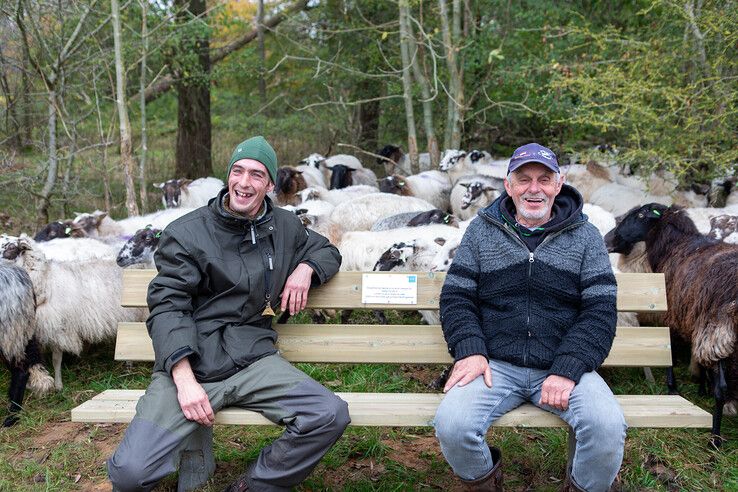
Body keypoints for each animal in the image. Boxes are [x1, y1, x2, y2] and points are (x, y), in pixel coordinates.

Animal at [604, 203, 736, 442]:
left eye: (639, 215)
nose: (607, 239)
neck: (676, 246)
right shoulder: (693, 319)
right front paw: (700, 388)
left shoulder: (674, 314)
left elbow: (671, 352)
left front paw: (672, 387)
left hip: (718, 329)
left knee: (722, 387)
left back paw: (715, 437)